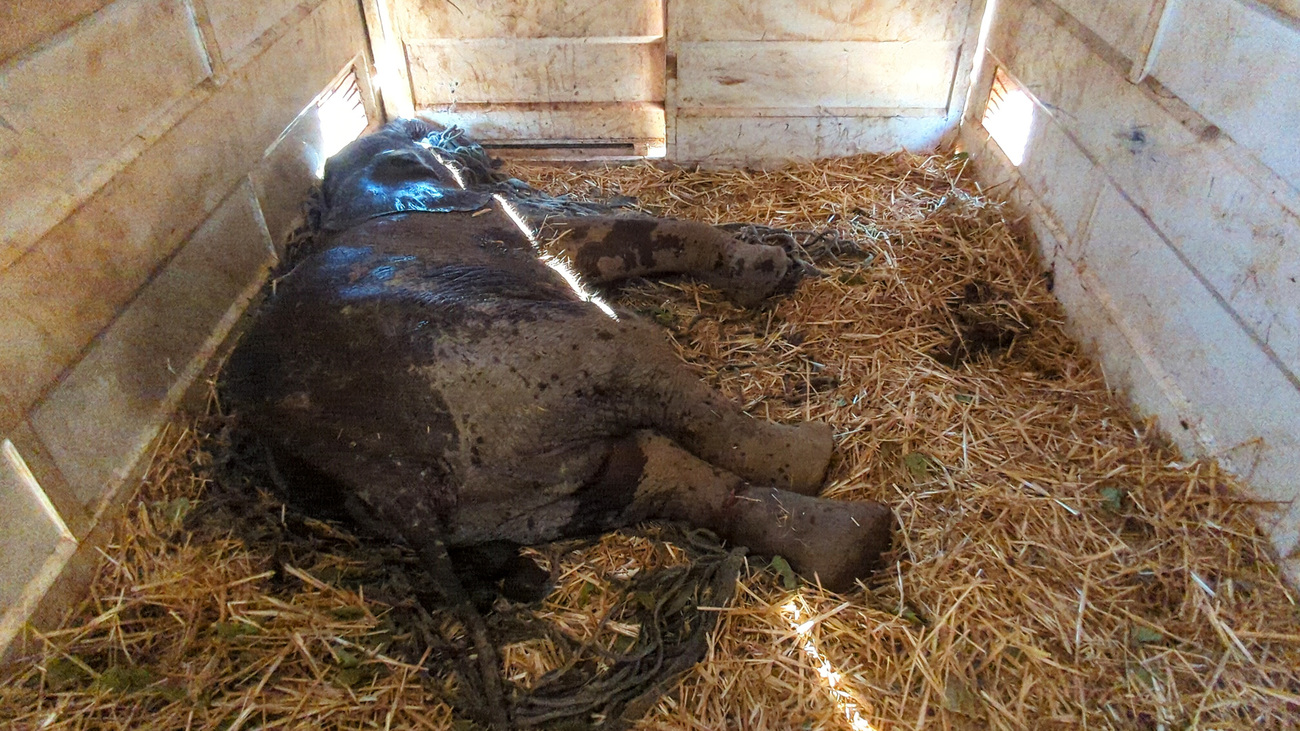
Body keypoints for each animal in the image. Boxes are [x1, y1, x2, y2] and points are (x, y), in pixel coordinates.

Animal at [223, 116, 894, 587]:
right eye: (411, 135)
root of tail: (396, 485)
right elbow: (605, 232)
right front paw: (771, 268)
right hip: (534, 359)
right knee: (669, 394)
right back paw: (819, 455)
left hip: (516, 496)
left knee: (655, 476)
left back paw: (852, 542)